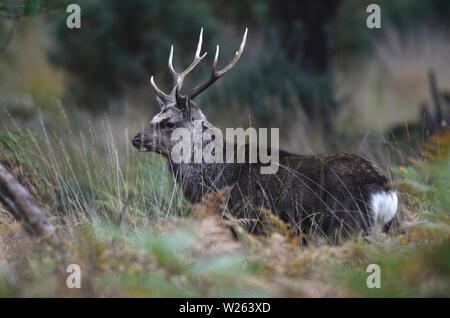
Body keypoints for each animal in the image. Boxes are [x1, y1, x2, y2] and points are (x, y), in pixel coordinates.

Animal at [131, 29, 398, 243]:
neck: (212, 177)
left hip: (344, 226)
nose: (135, 139)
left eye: (169, 123)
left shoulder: (243, 222)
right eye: (154, 115)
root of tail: (384, 193)